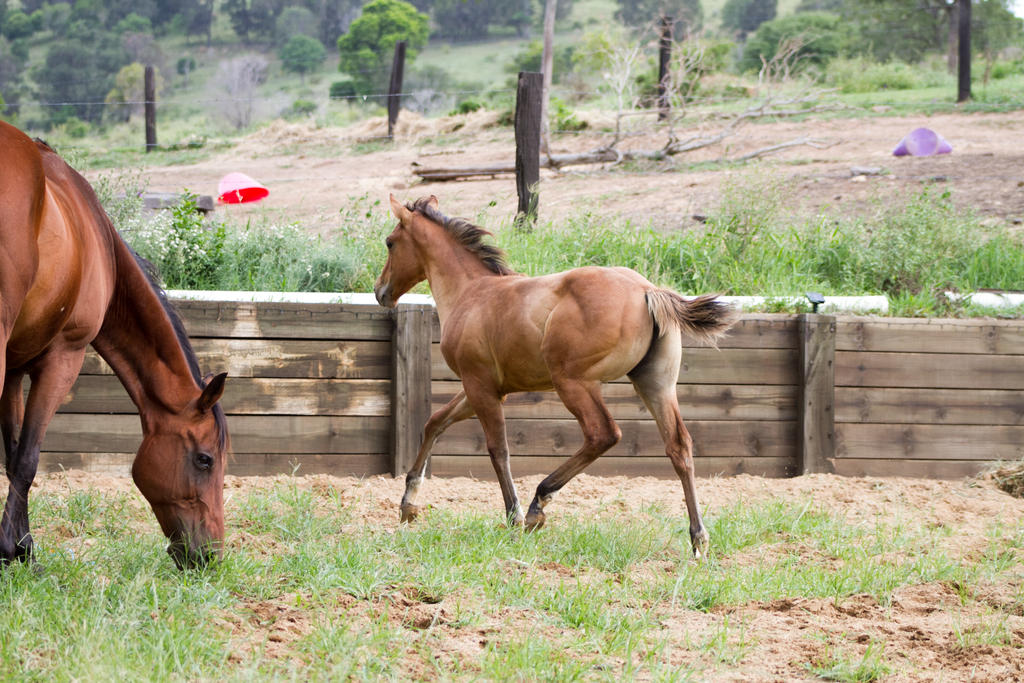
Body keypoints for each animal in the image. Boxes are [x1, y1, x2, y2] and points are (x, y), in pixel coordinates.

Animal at [0, 121, 228, 573]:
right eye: (204, 460)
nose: (210, 555)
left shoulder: (15, 369)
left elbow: (12, 455)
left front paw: (19, 547)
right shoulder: (62, 358)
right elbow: (27, 460)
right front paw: (17, 551)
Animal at [376, 194, 737, 557]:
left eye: (390, 242)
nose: (380, 291)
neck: (472, 292)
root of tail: (647, 291)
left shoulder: (480, 386)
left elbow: (497, 449)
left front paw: (514, 518)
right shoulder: (483, 386)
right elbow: (434, 422)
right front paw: (408, 504)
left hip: (574, 382)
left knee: (602, 434)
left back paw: (538, 504)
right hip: (655, 384)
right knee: (679, 446)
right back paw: (698, 539)